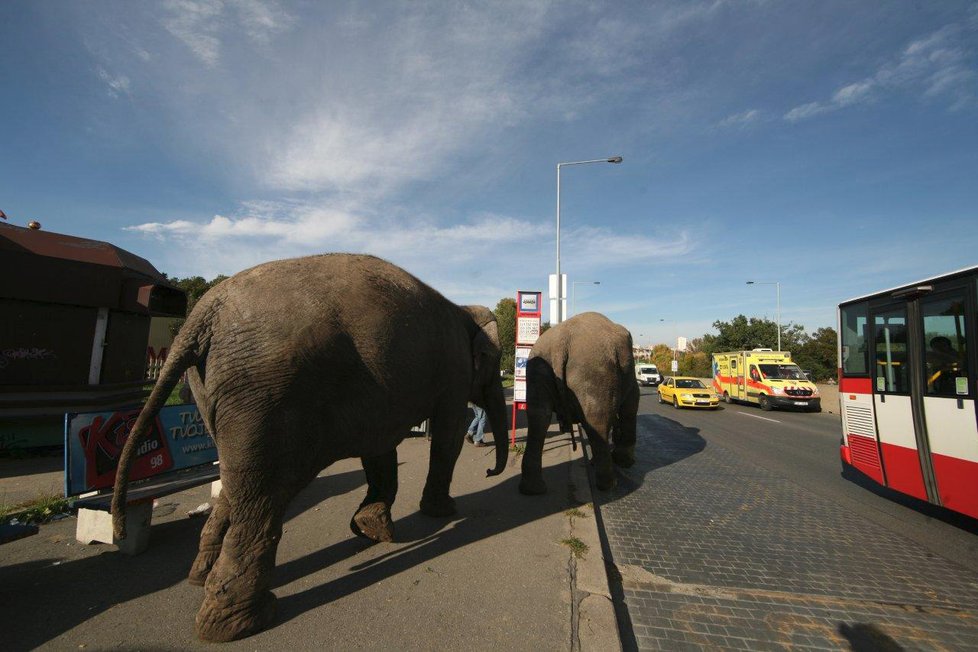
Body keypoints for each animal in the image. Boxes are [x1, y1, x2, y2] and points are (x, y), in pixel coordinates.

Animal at [113, 253, 508, 640]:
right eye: (494, 362)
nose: (490, 470)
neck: (464, 309)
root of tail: (203, 314)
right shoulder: (455, 371)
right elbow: (446, 435)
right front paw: (442, 512)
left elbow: (380, 443)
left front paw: (371, 528)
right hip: (267, 397)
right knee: (264, 495)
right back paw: (242, 622)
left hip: (214, 390)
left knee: (236, 481)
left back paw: (202, 578)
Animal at [520, 312, 640, 494]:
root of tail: (560, 342)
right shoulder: (630, 372)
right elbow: (631, 403)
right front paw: (624, 462)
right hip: (594, 370)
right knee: (597, 421)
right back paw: (609, 485)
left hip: (538, 369)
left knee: (538, 417)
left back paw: (532, 489)